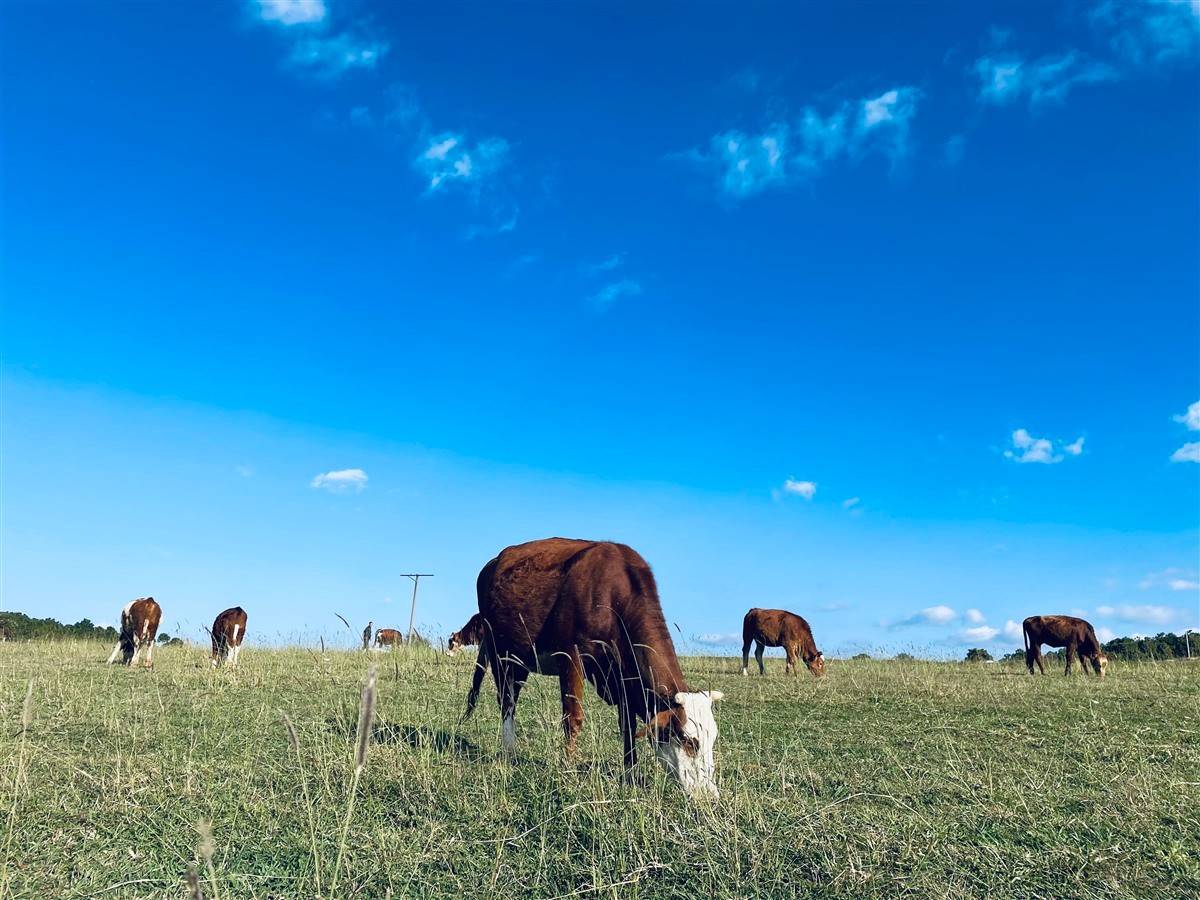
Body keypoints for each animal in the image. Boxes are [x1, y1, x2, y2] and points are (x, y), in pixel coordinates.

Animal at [460, 540, 720, 801]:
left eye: (713, 738)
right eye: (688, 740)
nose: (711, 795)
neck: (612, 598)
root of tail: (494, 562)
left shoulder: (623, 675)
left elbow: (627, 726)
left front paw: (631, 773)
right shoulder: (570, 657)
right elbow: (572, 718)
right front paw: (568, 768)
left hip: (521, 658)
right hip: (499, 653)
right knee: (507, 701)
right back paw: (509, 751)